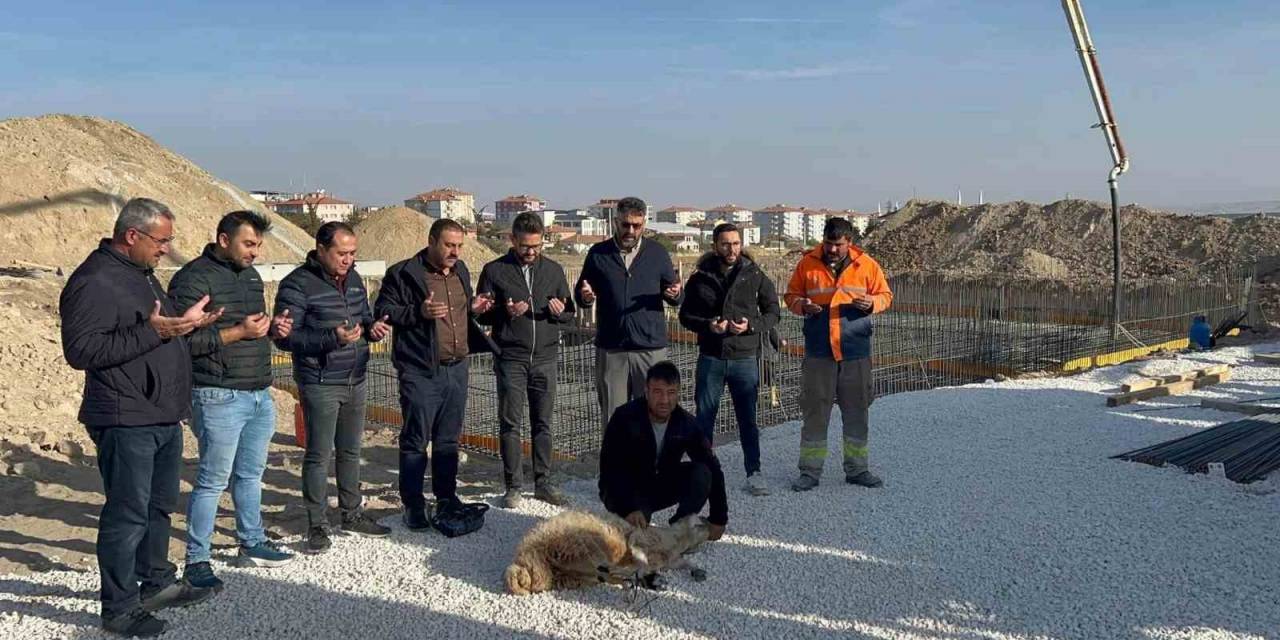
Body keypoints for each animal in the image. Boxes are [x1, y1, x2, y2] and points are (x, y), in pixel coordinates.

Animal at [504, 509, 711, 593]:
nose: (706, 521)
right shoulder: (641, 536)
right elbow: (637, 544)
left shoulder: (671, 557)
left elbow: (683, 562)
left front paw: (695, 569)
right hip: (592, 542)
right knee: (607, 565)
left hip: (577, 569)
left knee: (602, 574)